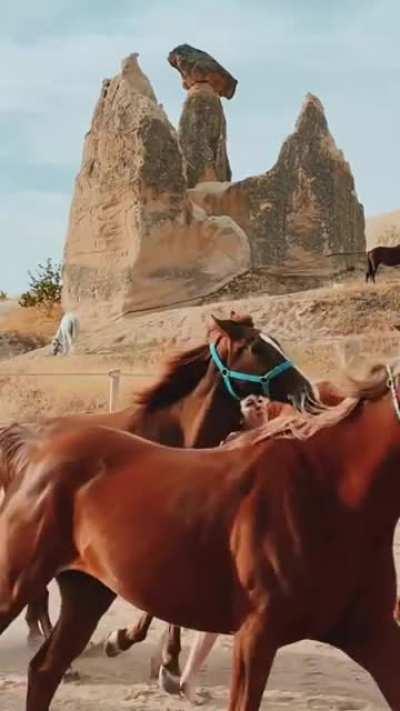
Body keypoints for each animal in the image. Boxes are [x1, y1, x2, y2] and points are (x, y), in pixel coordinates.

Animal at [0, 312, 314, 676]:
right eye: (257, 347)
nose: (306, 391)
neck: (171, 437)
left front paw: (161, 655)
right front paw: (130, 643)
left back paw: (42, 636)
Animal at [2, 360, 400, 710]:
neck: (330, 491)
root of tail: (35, 446)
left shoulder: (371, 631)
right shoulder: (257, 634)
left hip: (88, 593)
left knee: (44, 670)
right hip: (17, 582)